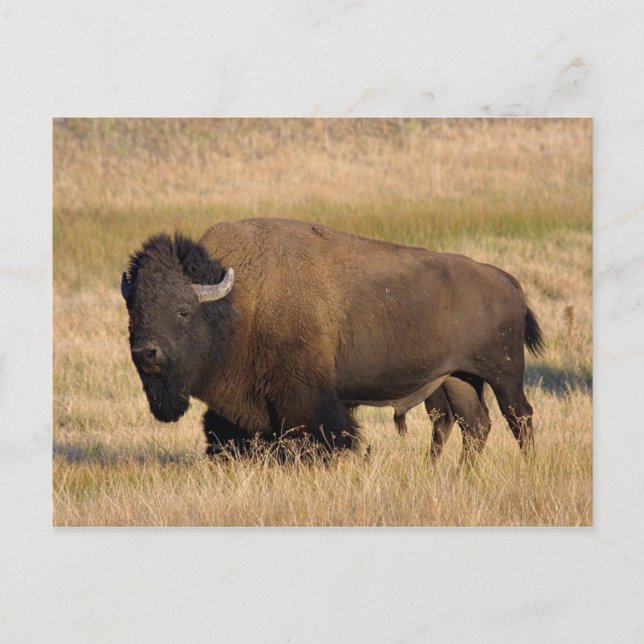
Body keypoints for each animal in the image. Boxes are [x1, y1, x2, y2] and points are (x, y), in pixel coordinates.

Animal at [121, 218, 543, 463]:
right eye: (134, 311)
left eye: (183, 311)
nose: (147, 353)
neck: (240, 301)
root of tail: (506, 279)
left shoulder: (307, 396)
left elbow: (321, 435)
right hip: (458, 378)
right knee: (474, 425)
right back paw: (457, 475)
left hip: (504, 375)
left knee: (519, 418)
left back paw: (529, 468)